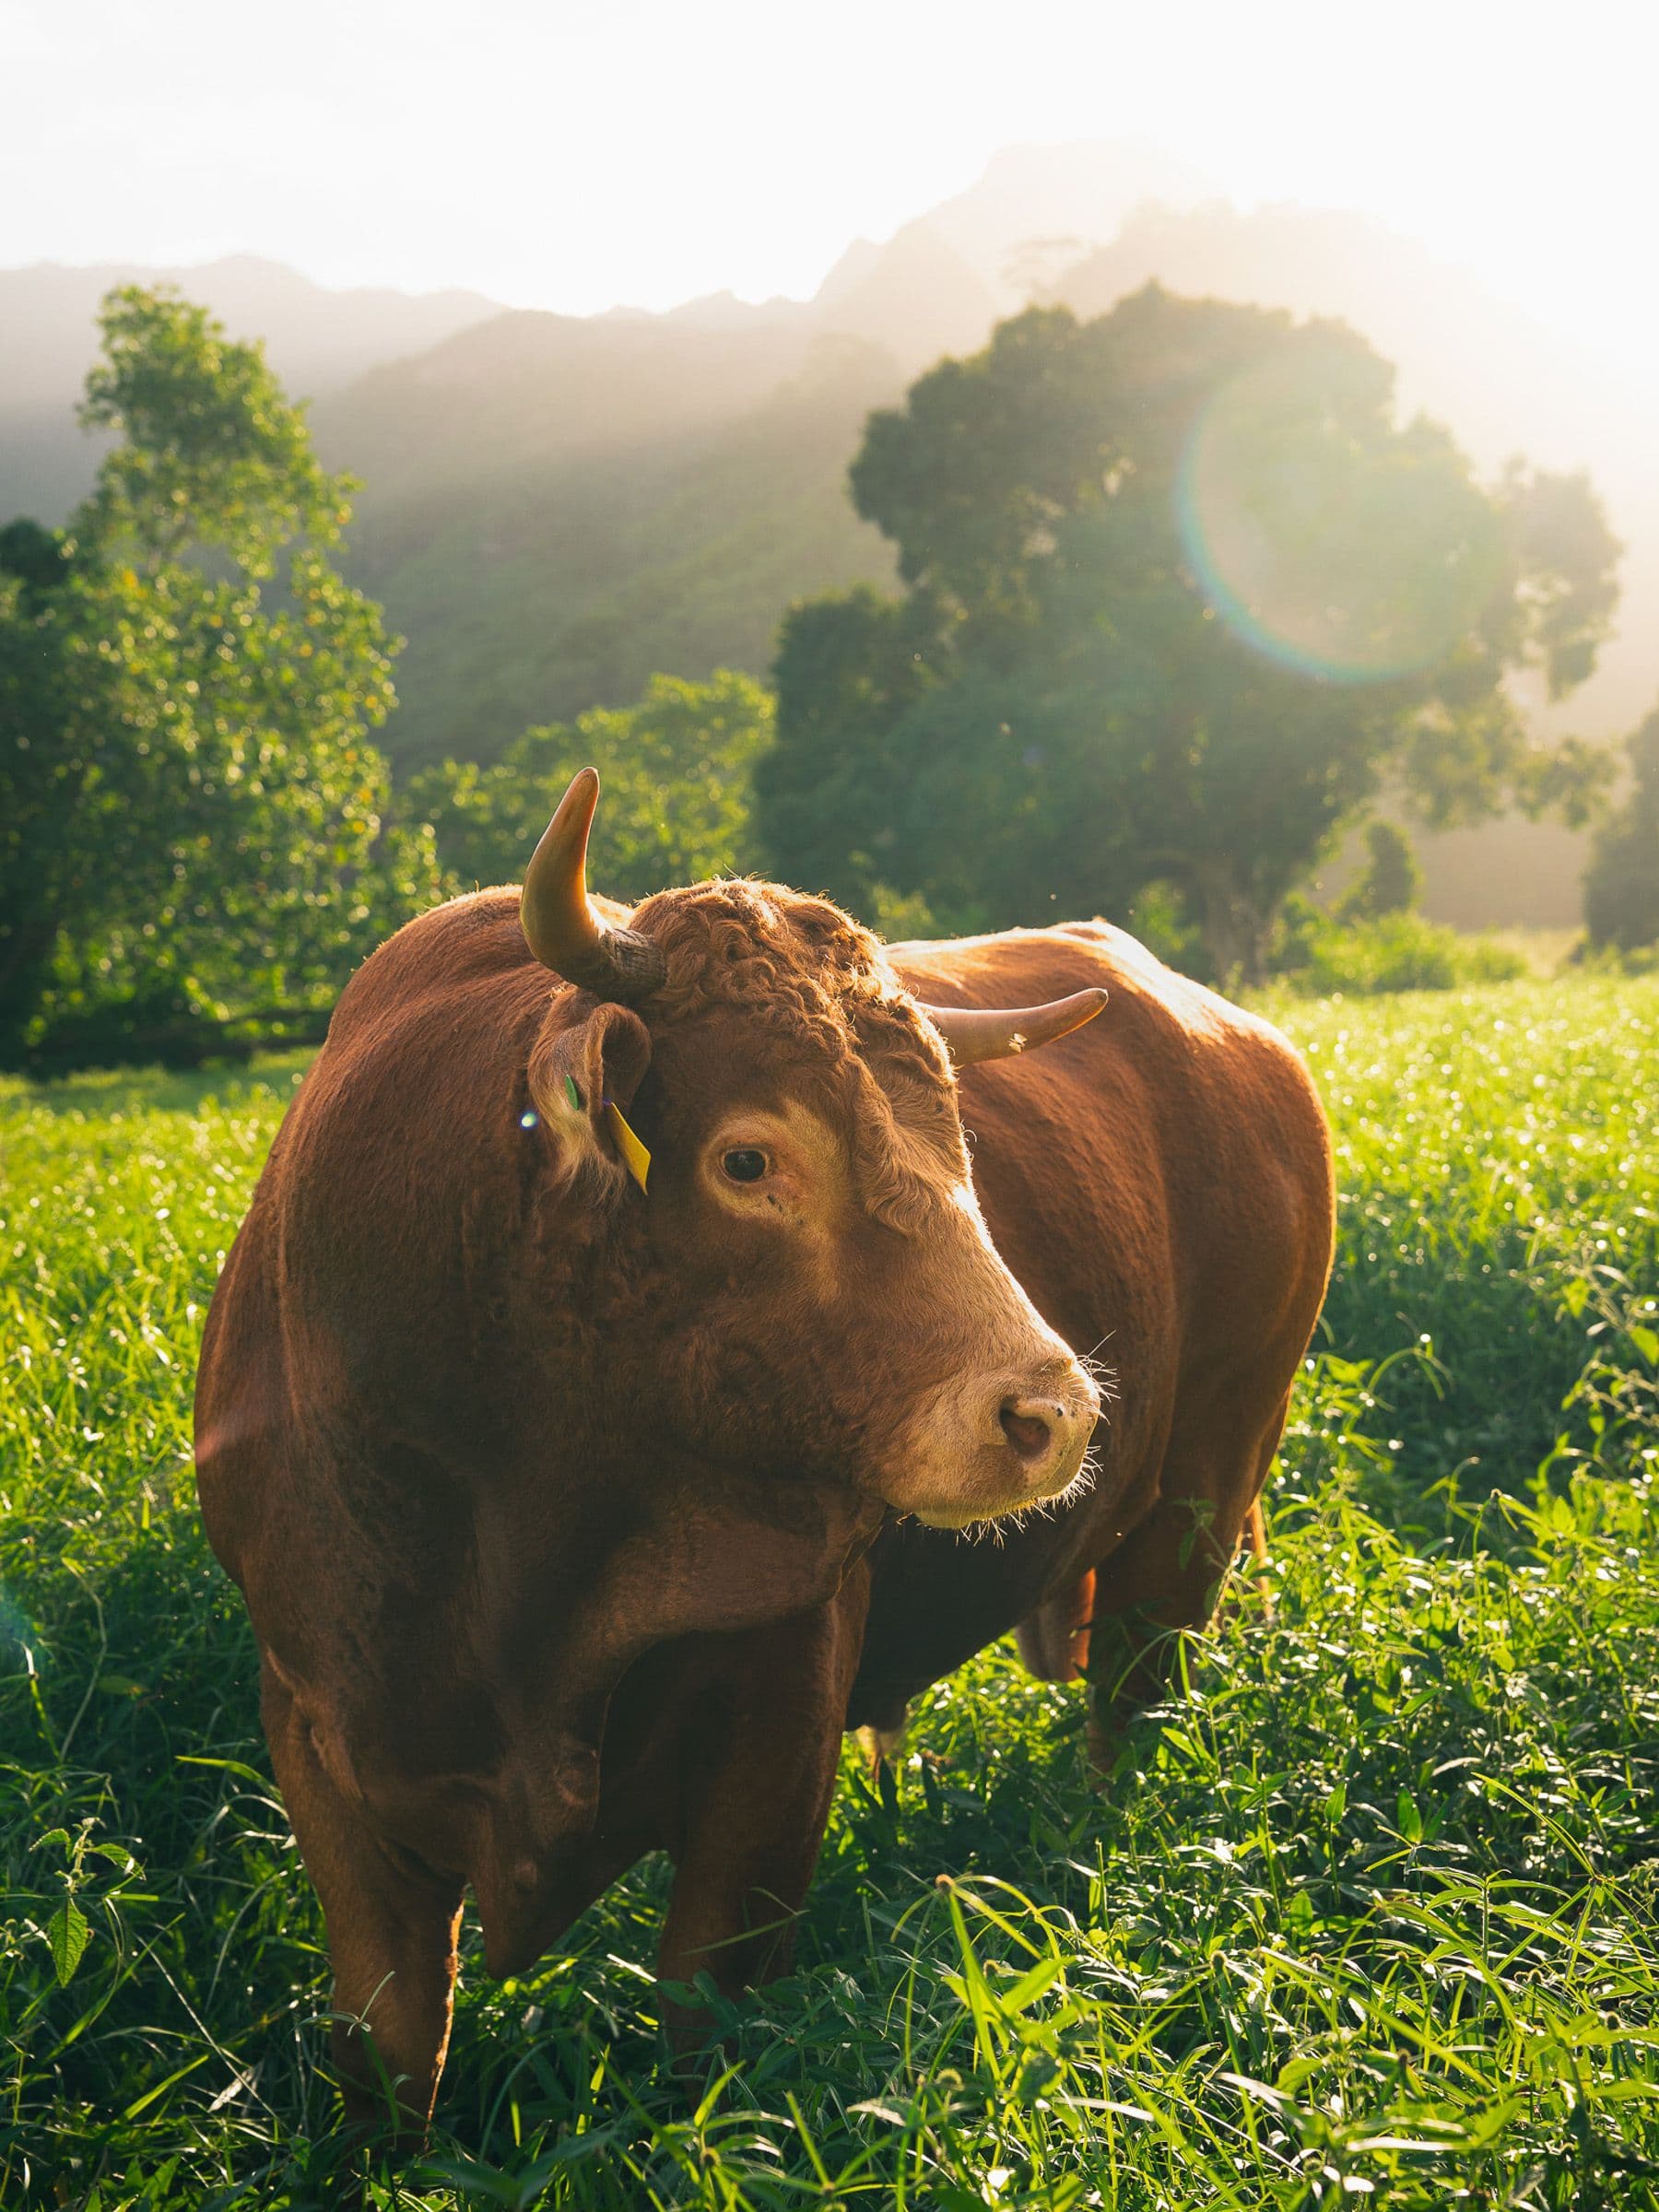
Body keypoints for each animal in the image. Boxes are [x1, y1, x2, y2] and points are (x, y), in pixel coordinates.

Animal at [195, 768, 1332, 2143]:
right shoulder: (323, 1735)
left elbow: (706, 2011)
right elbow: (395, 2047)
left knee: (1132, 1693)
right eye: (748, 1158)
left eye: (957, 1139)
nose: (1053, 1414)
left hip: (1204, 1495)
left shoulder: (776, 1729)